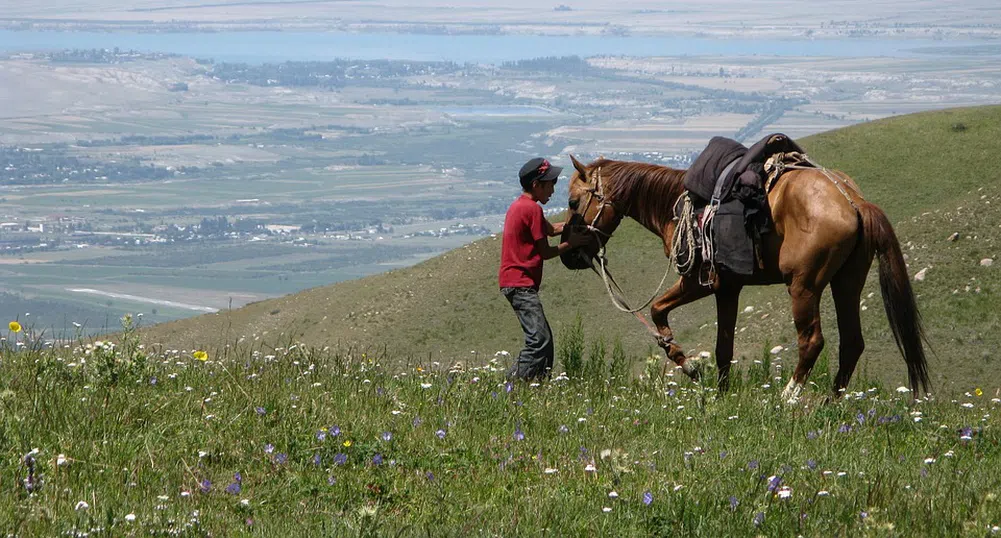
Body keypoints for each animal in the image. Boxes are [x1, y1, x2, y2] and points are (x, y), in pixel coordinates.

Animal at [564, 154, 928, 398]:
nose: (567, 254)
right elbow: (723, 347)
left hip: (804, 287)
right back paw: (829, 402)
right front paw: (722, 395)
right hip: (846, 283)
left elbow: (657, 310)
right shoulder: (728, 288)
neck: (673, 205)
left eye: (572, 201)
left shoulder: (698, 282)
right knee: (852, 342)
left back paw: (788, 398)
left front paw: (688, 365)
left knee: (812, 341)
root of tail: (853, 202)